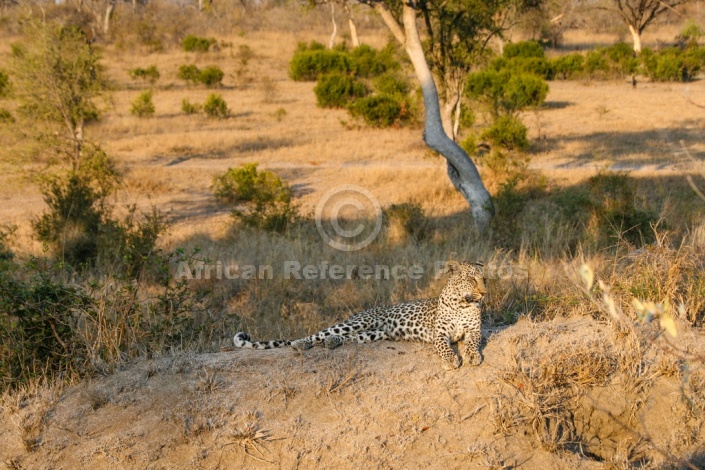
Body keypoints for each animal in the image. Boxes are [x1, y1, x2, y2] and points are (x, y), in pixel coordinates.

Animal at [234, 262, 486, 370]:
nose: (485, 292)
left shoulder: (474, 330)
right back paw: (301, 344)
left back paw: (331, 342)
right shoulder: (439, 333)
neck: (462, 303)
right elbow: (444, 347)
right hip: (360, 321)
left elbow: (472, 342)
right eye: (472, 279)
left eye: (485, 279)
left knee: (346, 337)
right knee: (319, 333)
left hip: (374, 334)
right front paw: (451, 360)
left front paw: (472, 355)